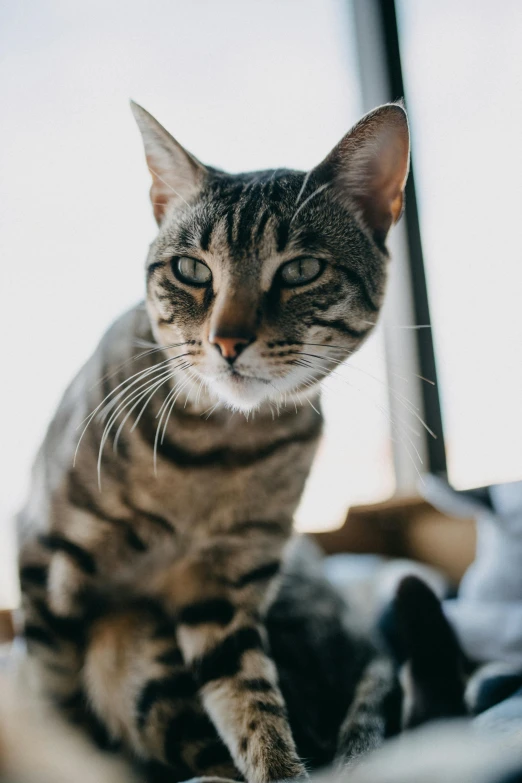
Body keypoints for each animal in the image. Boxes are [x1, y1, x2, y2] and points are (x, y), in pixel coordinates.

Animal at [17, 101, 410, 780]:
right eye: (191, 269)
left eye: (301, 269)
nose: (228, 340)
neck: (216, 453)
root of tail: (367, 645)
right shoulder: (47, 565)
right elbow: (58, 705)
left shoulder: (223, 594)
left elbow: (255, 712)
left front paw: (279, 765)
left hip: (132, 644)